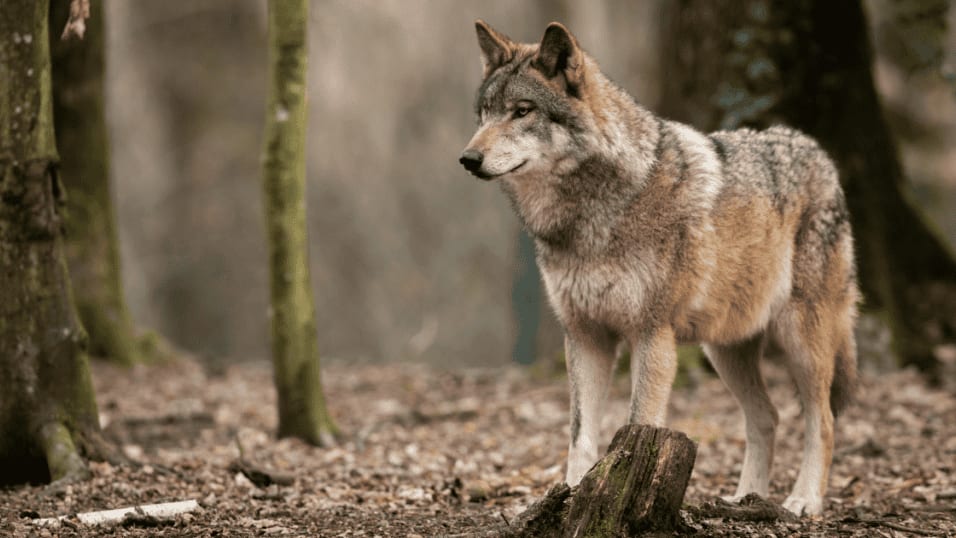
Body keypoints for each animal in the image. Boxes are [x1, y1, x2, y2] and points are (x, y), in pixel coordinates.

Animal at [459, 20, 858, 517]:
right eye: (484, 114)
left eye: (521, 111)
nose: (468, 159)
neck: (590, 216)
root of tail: (818, 152)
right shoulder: (585, 336)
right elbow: (580, 436)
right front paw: (571, 496)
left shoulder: (652, 335)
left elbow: (635, 425)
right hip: (725, 350)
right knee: (767, 416)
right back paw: (745, 498)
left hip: (801, 341)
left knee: (823, 420)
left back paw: (803, 500)